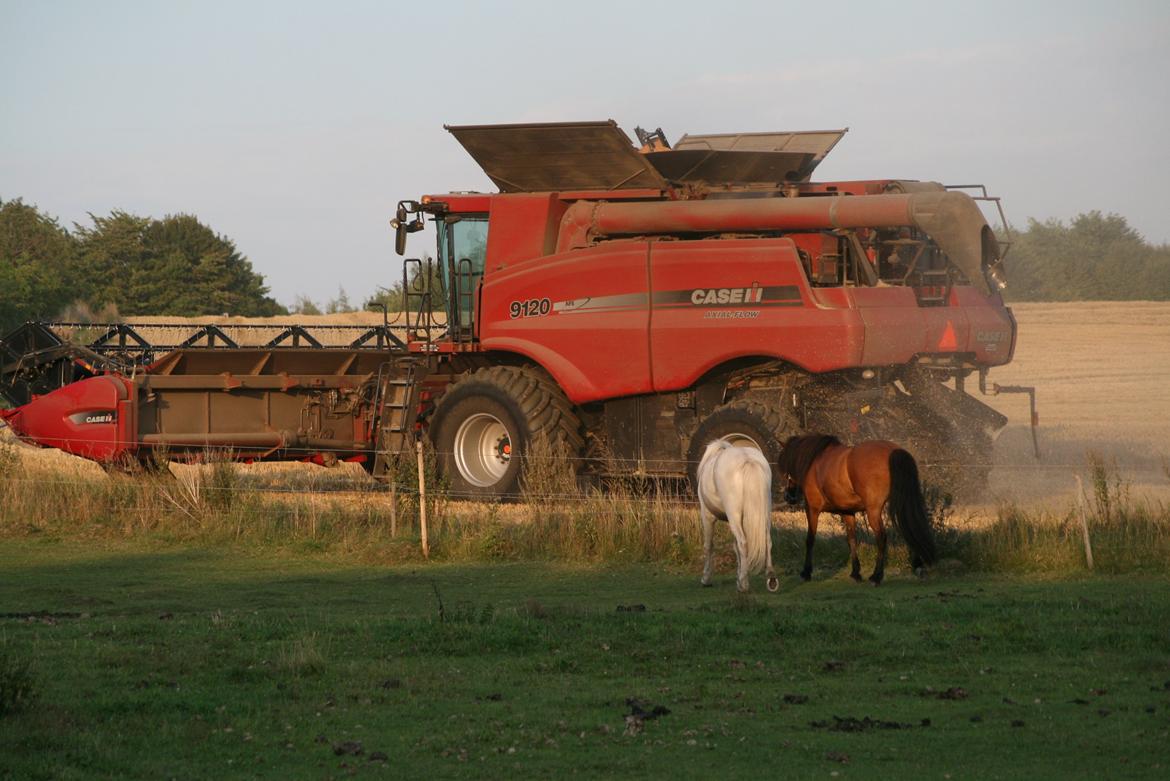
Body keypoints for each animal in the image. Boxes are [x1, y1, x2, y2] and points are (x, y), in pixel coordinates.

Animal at [692, 439, 776, 591]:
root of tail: (748, 460)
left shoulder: (707, 517)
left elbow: (709, 546)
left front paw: (706, 579)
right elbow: (735, 547)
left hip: (734, 517)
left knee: (743, 543)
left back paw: (744, 584)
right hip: (764, 514)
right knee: (767, 541)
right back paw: (771, 579)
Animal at [781, 437, 935, 582]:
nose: (788, 496)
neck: (814, 463)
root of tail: (894, 451)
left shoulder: (812, 509)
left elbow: (810, 539)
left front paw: (806, 572)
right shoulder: (848, 513)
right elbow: (852, 540)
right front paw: (855, 572)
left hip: (874, 511)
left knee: (882, 537)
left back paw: (876, 576)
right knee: (909, 527)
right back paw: (918, 567)